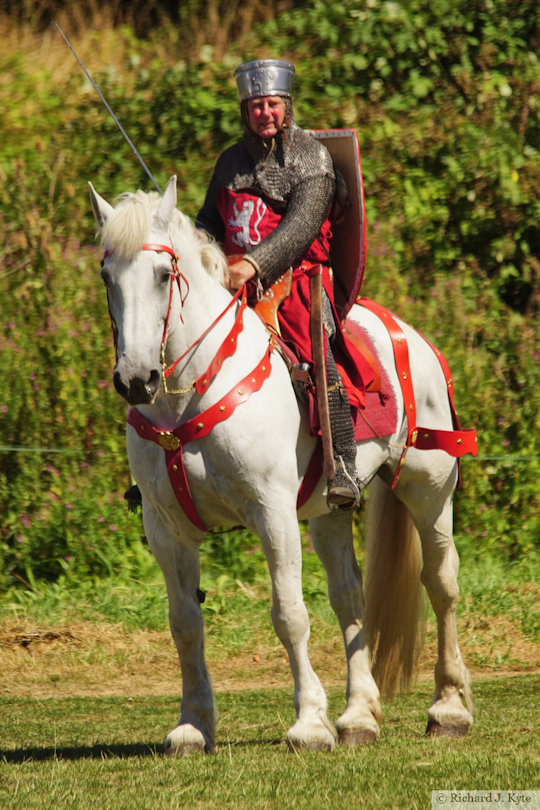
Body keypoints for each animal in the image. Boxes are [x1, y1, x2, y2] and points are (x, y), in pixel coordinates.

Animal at [90, 177, 474, 752]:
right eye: (107, 275)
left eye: (162, 274)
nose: (136, 379)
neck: (192, 392)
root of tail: (409, 334)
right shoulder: (165, 528)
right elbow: (184, 623)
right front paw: (192, 723)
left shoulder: (271, 512)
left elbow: (289, 614)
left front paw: (309, 722)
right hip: (331, 508)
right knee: (349, 595)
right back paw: (359, 715)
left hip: (427, 488)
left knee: (441, 582)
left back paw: (448, 707)